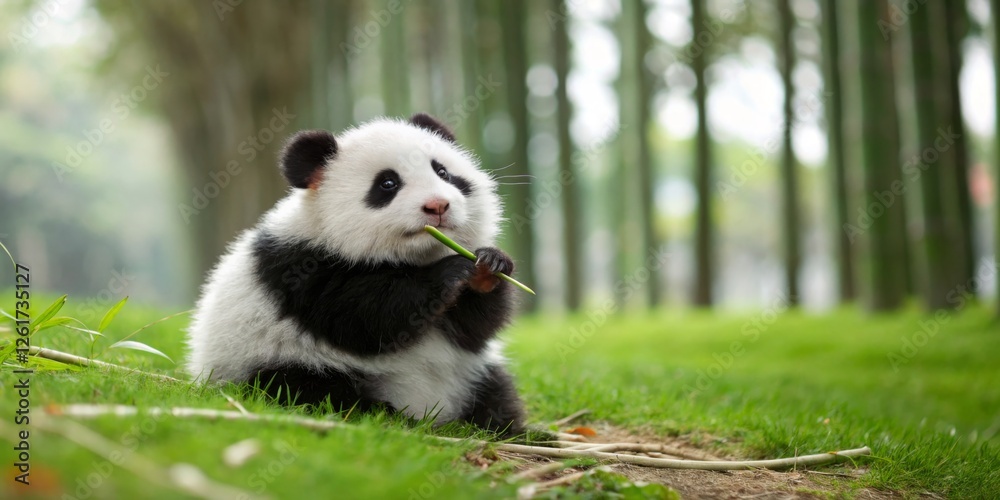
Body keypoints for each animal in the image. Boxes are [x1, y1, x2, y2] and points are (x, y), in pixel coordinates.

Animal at [186, 113, 525, 434]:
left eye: (443, 172)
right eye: (387, 184)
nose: (437, 205)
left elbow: (473, 329)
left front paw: (488, 267)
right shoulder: (302, 268)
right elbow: (366, 317)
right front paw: (450, 272)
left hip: (472, 374)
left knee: (495, 393)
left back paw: (510, 430)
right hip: (271, 361)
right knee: (309, 390)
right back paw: (390, 416)